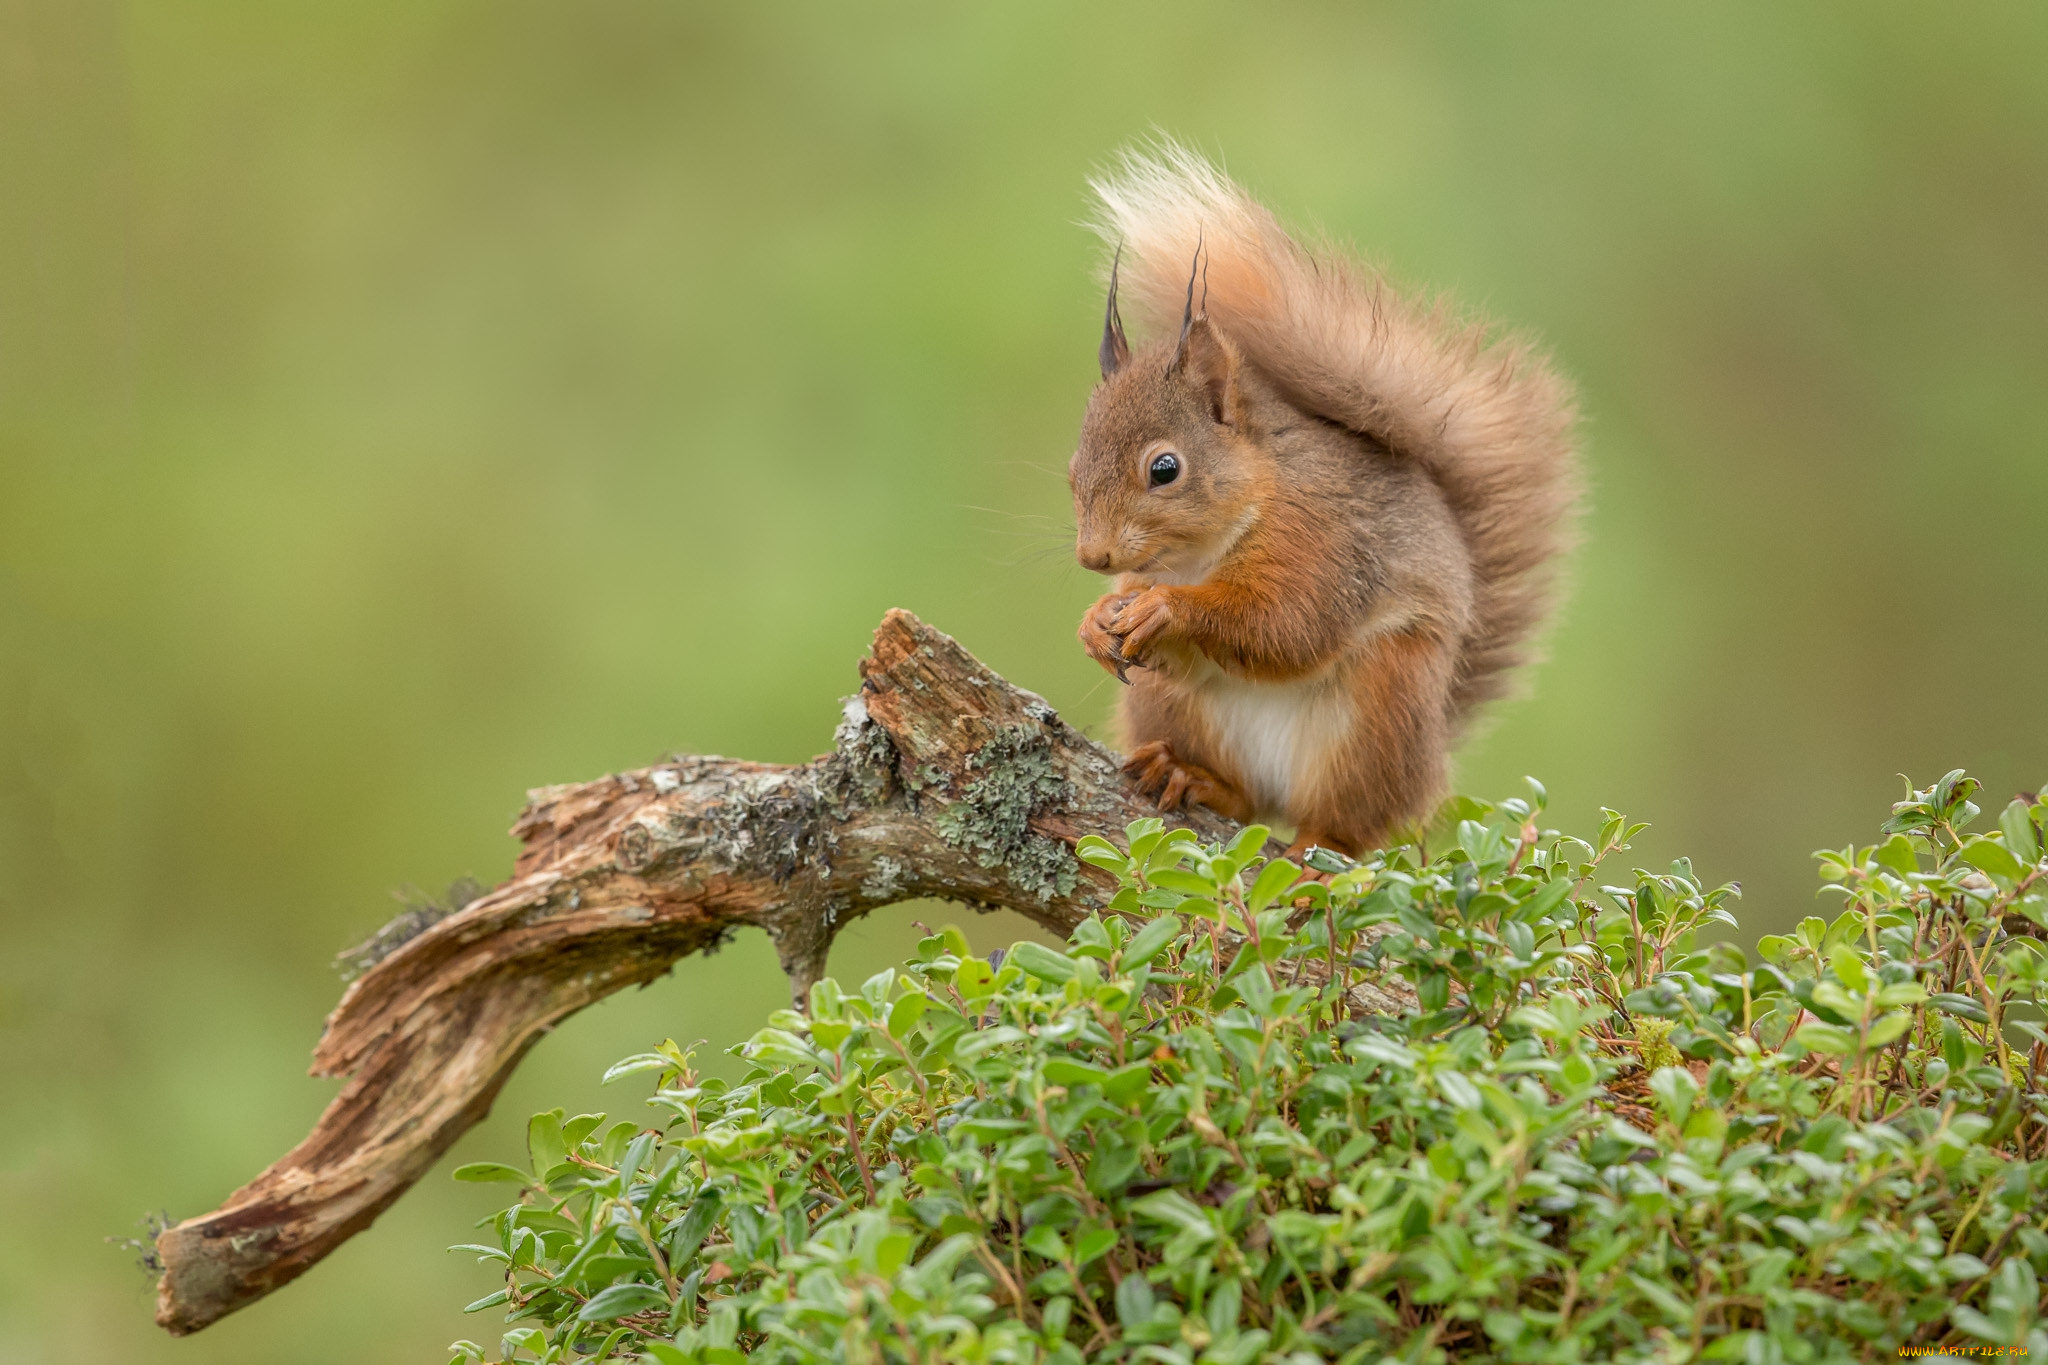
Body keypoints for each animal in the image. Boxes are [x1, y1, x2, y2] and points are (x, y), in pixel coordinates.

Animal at [1073, 147, 1581, 855]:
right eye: (1074, 465)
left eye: (1165, 469)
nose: (1092, 557)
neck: (1202, 553)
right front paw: (1098, 619)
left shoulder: (1324, 539)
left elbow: (1287, 625)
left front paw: (1167, 609)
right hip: (1167, 706)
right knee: (1244, 798)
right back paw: (1188, 774)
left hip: (1377, 714)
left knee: (1348, 826)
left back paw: (1318, 855)